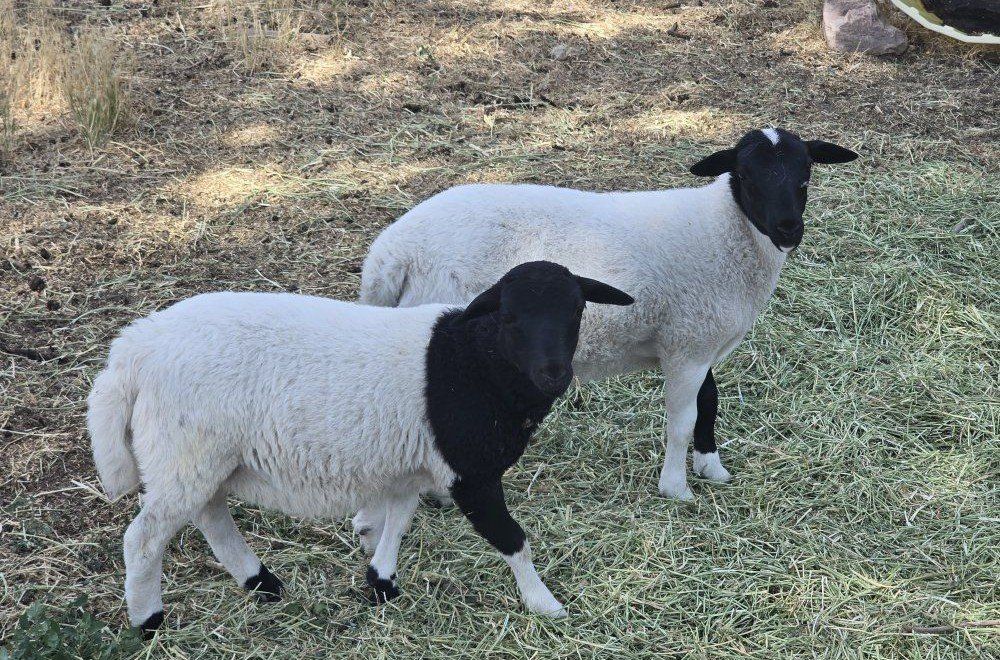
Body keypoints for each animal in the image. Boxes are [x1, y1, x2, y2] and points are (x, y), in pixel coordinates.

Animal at [87, 261, 634, 634]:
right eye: (510, 317)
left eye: (578, 310)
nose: (555, 374)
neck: (476, 363)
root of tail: (132, 352)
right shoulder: (470, 472)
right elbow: (511, 538)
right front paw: (545, 604)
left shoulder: (409, 463)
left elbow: (398, 518)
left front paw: (381, 581)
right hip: (188, 452)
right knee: (144, 539)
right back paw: (149, 620)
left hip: (201, 457)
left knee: (211, 515)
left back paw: (260, 582)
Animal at [358, 128, 858, 504]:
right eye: (748, 177)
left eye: (806, 175)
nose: (789, 229)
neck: (725, 230)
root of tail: (391, 253)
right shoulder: (687, 346)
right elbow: (682, 420)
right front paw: (676, 489)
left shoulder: (696, 339)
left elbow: (710, 403)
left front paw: (712, 468)